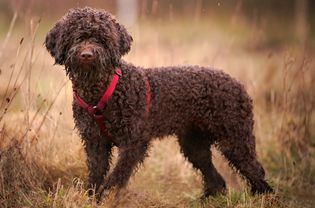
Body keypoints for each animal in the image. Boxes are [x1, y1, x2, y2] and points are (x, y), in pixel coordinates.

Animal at [45, 6, 274, 200]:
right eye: (77, 37)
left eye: (102, 39)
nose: (87, 54)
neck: (101, 92)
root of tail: (238, 85)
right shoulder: (95, 142)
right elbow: (96, 173)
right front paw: (92, 198)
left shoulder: (134, 143)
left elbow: (116, 177)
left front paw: (106, 197)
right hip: (194, 144)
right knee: (215, 178)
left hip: (235, 139)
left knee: (255, 172)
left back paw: (263, 197)